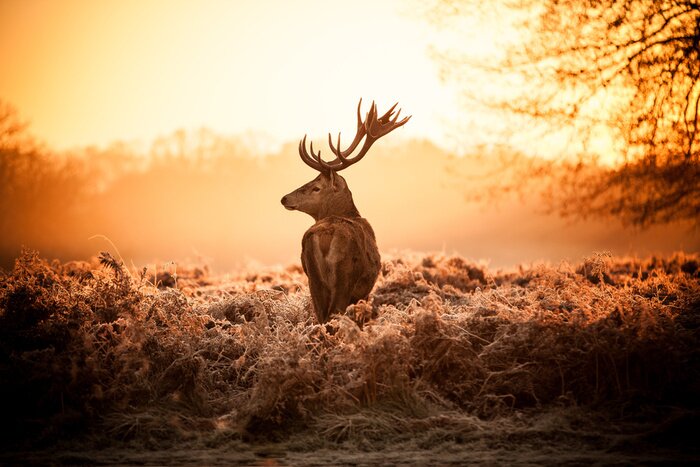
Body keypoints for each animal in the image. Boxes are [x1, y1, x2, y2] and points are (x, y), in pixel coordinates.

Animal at [281, 99, 410, 323]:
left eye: (316, 187)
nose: (284, 198)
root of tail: (324, 236)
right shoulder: (364, 291)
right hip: (344, 278)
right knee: (334, 314)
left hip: (313, 280)